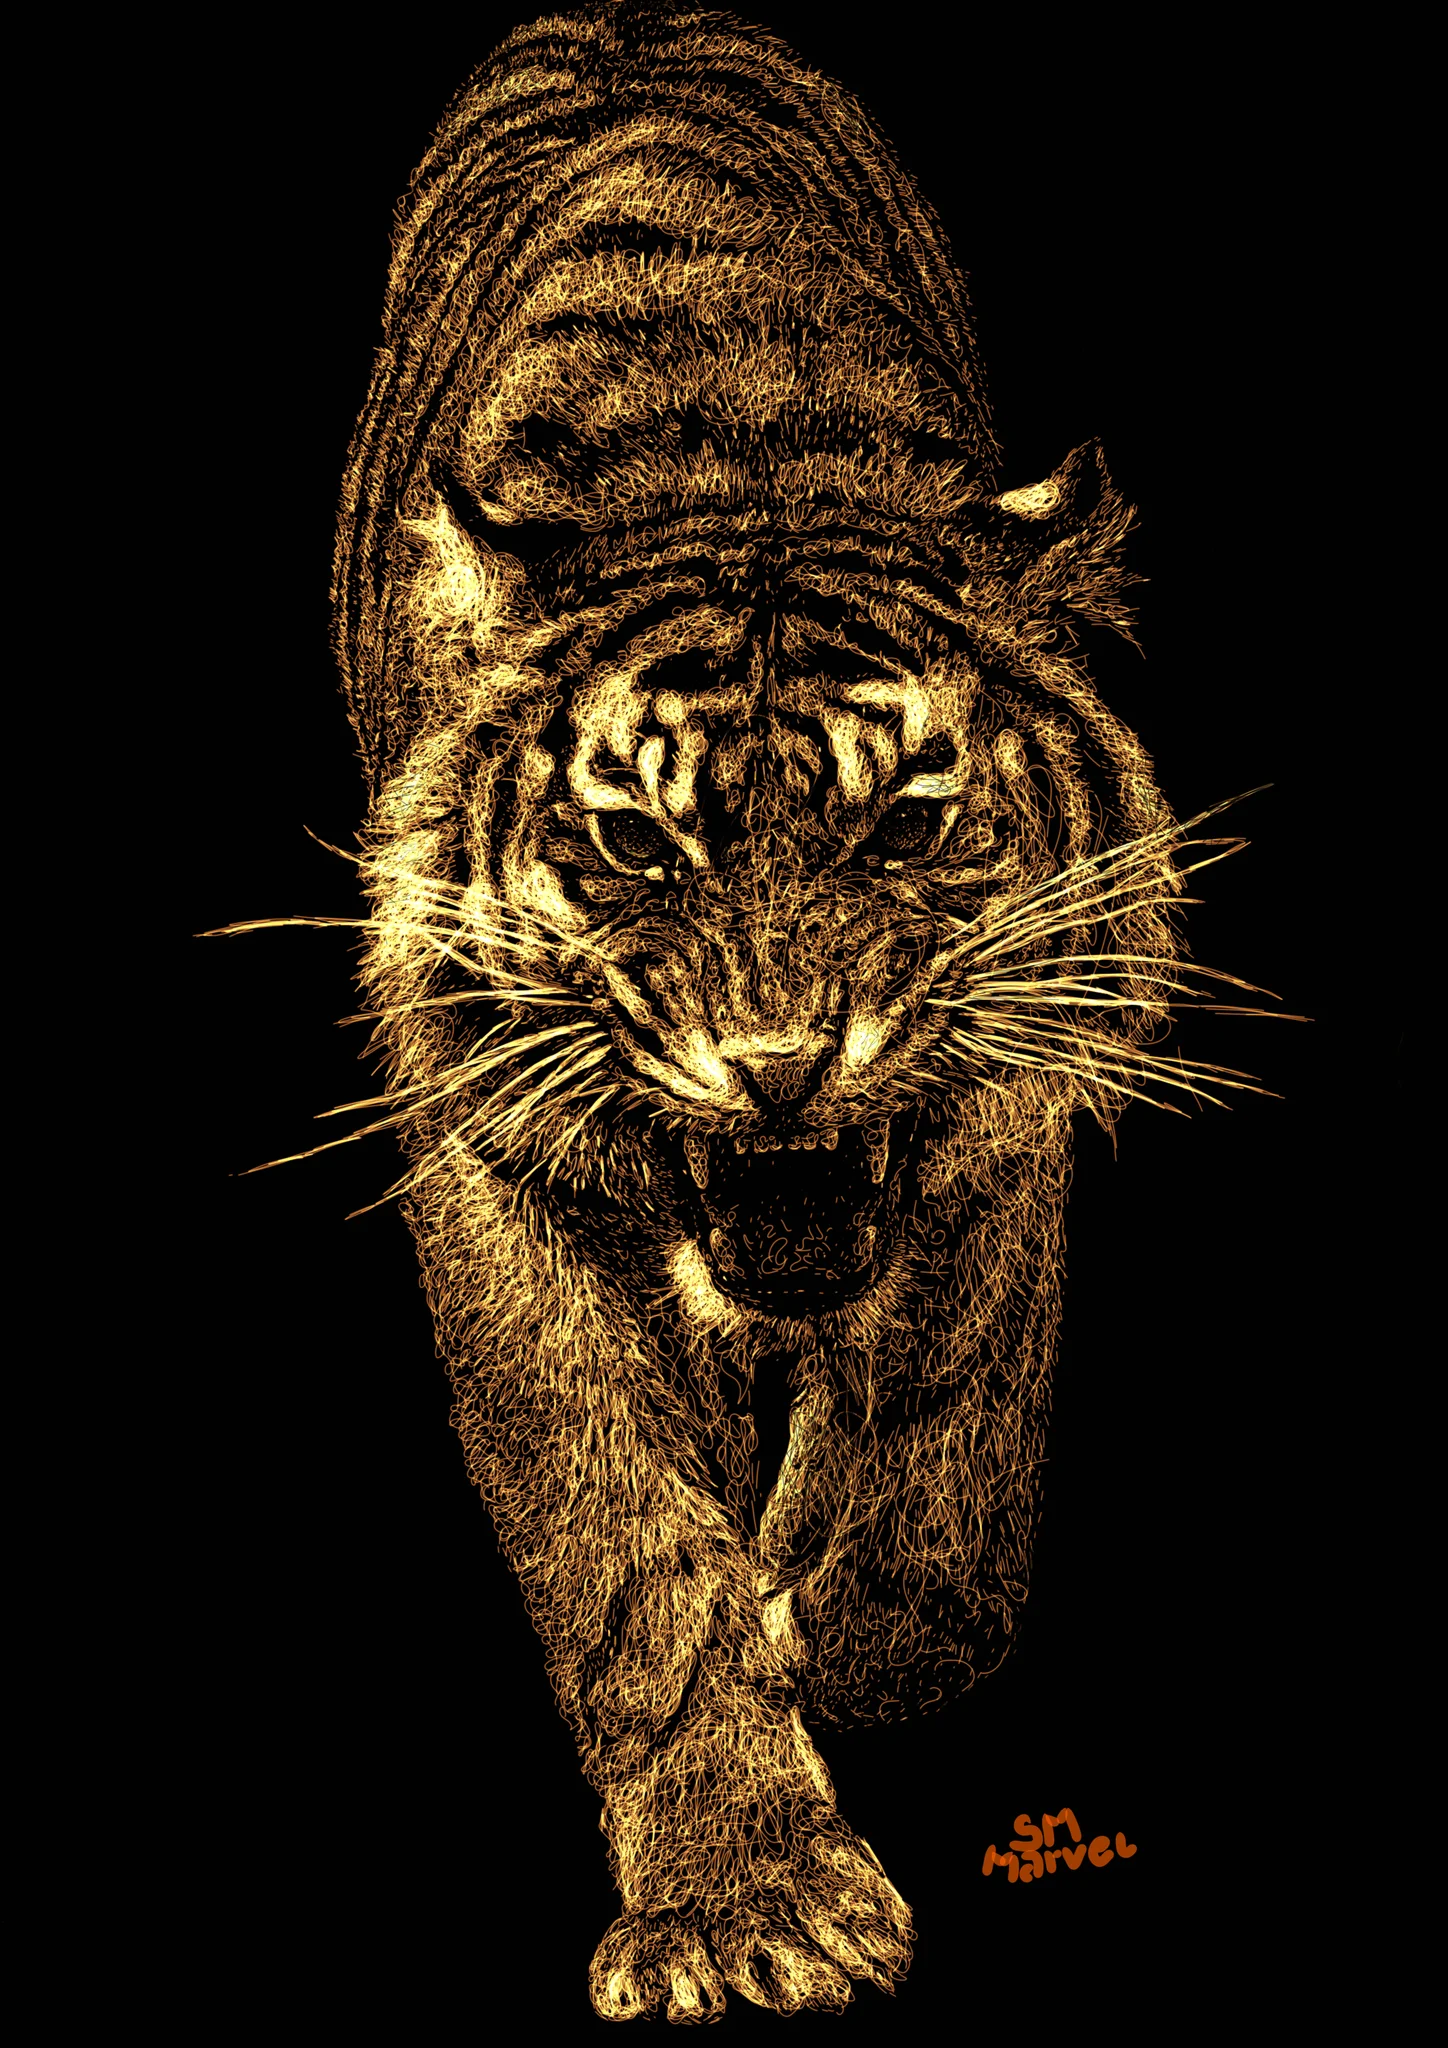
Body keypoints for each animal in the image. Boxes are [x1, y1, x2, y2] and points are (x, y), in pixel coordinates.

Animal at [312, 1, 1260, 2022]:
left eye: (906, 822)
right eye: (633, 839)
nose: (776, 1068)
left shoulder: (998, 1119)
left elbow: (948, 1432)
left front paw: (835, 1624)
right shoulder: (494, 1159)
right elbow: (623, 1543)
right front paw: (749, 1902)